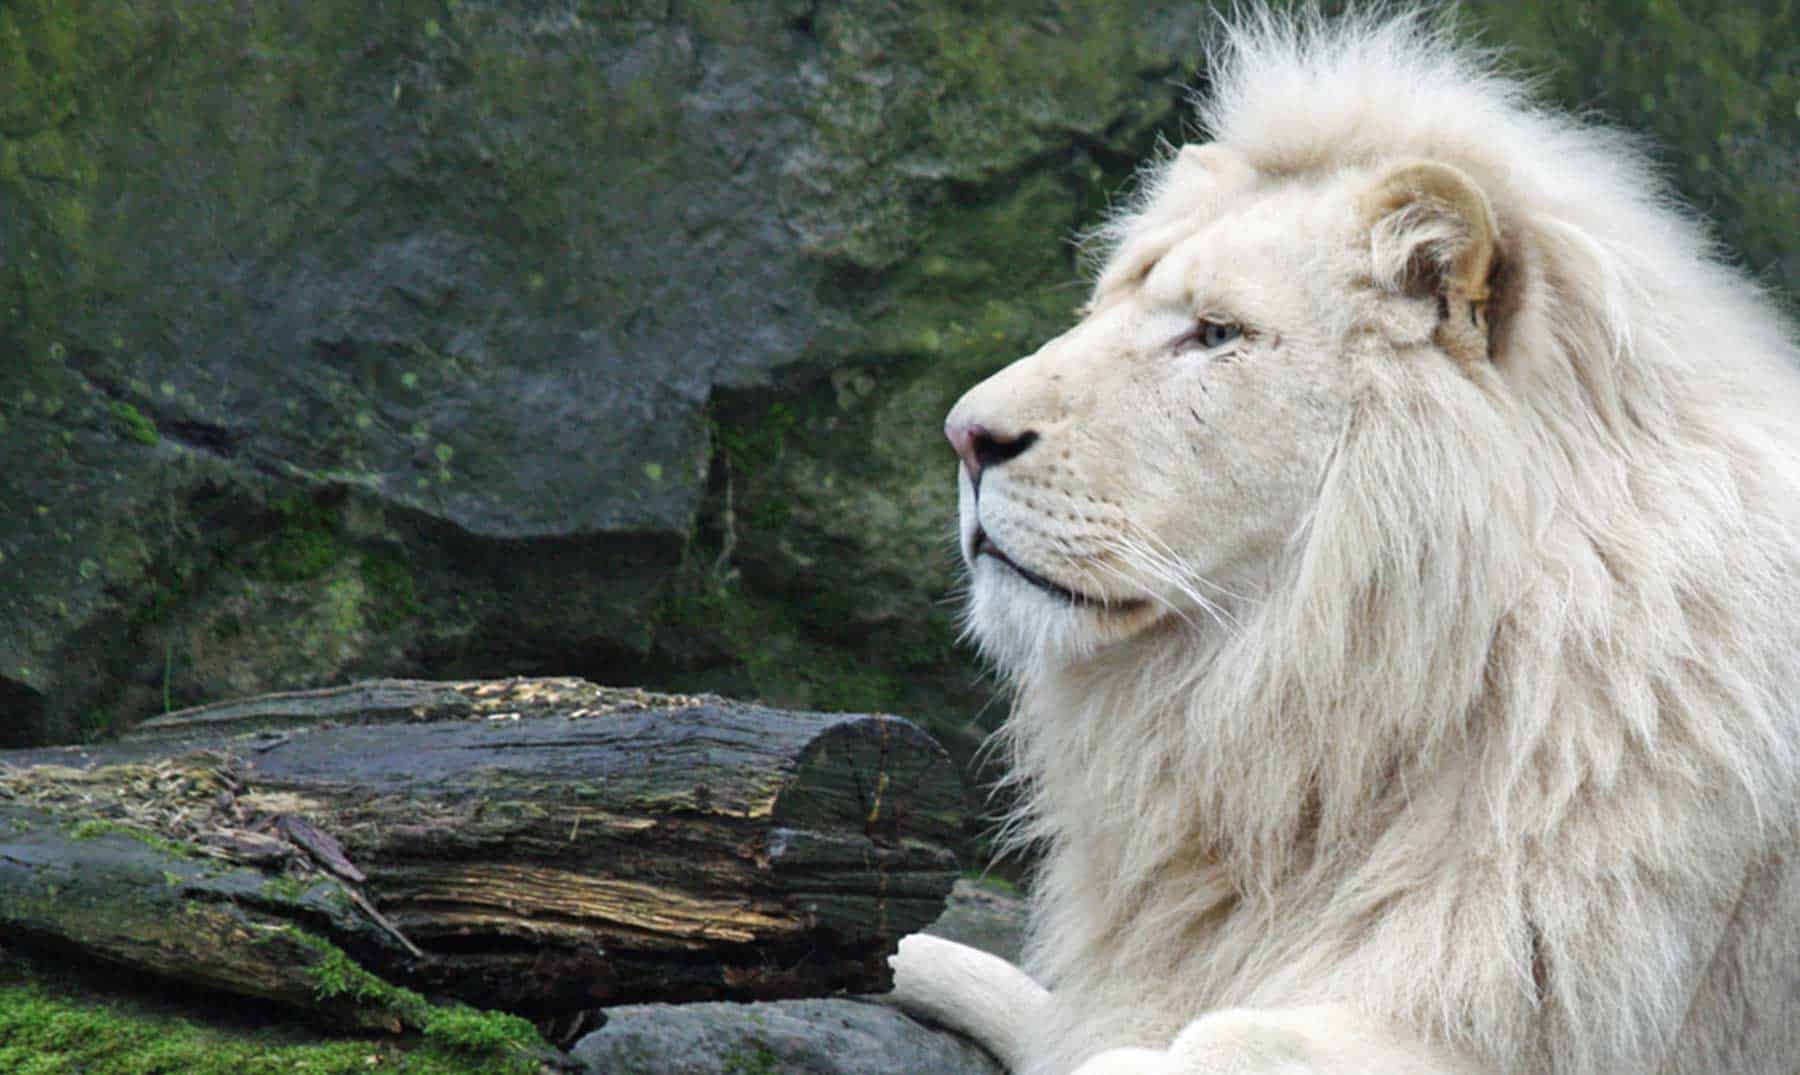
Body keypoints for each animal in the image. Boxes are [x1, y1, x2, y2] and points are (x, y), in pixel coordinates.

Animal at [892, 8, 1800, 1073]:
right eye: (1106, 307)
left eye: (1215, 333)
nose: (965, 436)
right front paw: (917, 957)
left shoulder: (1524, 1013)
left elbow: (1208, 1042)